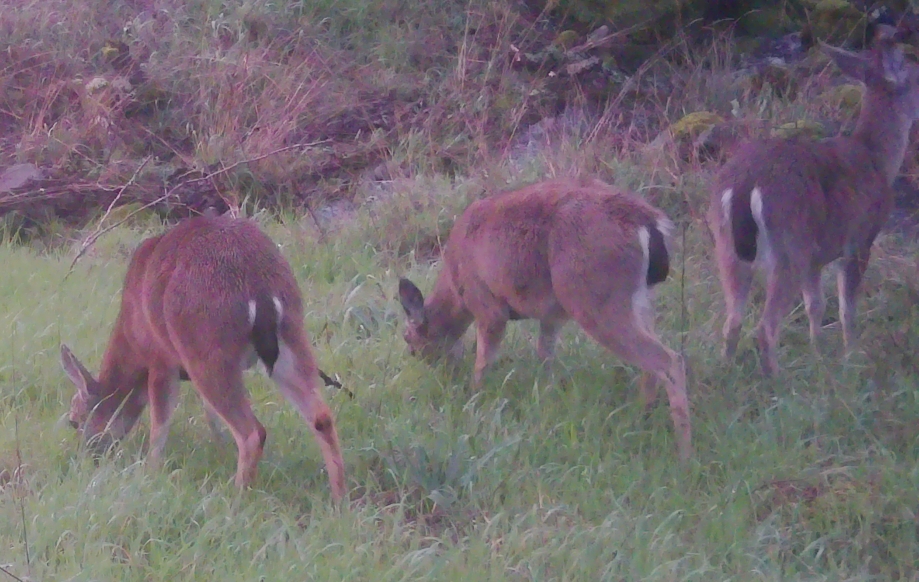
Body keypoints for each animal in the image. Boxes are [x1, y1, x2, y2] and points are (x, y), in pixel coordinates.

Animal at [60, 212, 346, 501]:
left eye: (74, 421)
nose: (87, 458)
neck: (132, 337)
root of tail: (259, 287)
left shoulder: (160, 359)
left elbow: (160, 423)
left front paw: (151, 472)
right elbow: (210, 417)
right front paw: (219, 450)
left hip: (206, 346)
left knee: (252, 432)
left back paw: (238, 497)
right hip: (291, 335)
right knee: (321, 416)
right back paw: (339, 498)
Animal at [397, 177, 692, 462]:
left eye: (409, 341)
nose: (439, 373)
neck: (455, 287)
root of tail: (649, 223)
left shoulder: (488, 306)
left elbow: (484, 361)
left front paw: (474, 398)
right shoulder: (552, 314)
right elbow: (545, 357)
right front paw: (547, 399)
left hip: (594, 297)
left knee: (668, 359)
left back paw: (683, 452)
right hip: (639, 299)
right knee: (652, 363)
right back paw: (641, 416)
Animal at [708, 25, 919, 377]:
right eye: (918, 77)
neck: (877, 158)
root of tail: (745, 183)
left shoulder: (817, 258)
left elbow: (815, 306)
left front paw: (818, 355)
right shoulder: (860, 238)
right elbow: (847, 306)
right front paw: (851, 355)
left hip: (727, 245)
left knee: (732, 320)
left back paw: (726, 371)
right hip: (789, 243)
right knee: (765, 326)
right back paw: (777, 379)